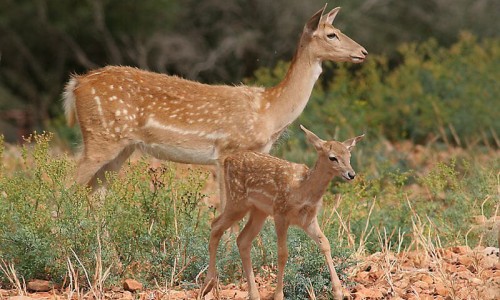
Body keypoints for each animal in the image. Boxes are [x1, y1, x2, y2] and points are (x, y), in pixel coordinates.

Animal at [63, 5, 368, 206]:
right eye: (331, 34)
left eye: (338, 30)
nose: (363, 52)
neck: (268, 111)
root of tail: (76, 84)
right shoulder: (227, 152)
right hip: (100, 137)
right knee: (65, 187)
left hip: (122, 148)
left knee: (95, 197)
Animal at [202, 125, 364, 298]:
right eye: (332, 157)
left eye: (349, 155)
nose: (351, 174)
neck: (302, 190)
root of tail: (228, 160)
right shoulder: (280, 213)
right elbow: (282, 254)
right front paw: (279, 295)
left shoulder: (308, 219)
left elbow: (325, 243)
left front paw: (338, 292)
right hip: (237, 200)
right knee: (215, 225)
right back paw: (208, 284)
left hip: (258, 211)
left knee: (242, 240)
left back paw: (253, 294)